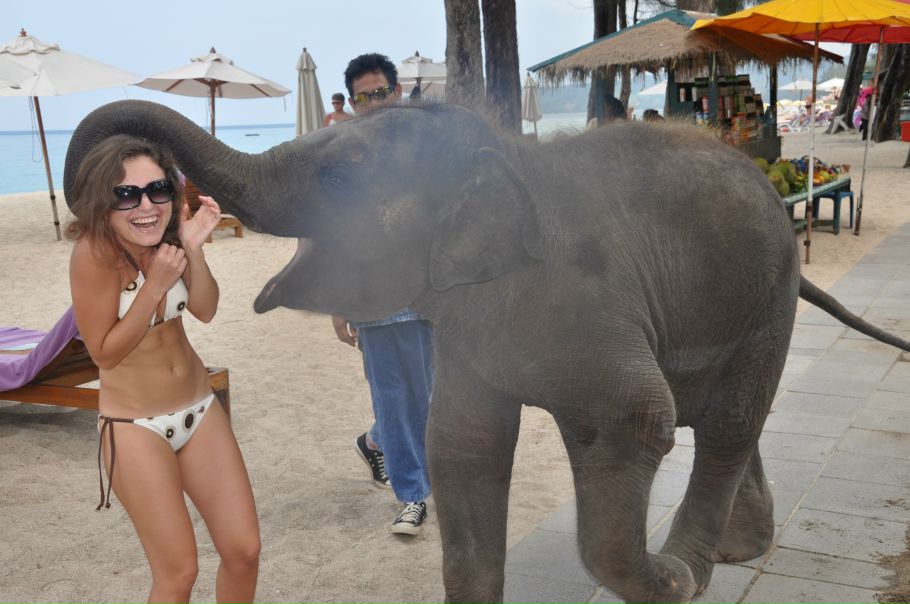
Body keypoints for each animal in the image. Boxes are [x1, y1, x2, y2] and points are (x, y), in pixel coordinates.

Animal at [64, 100, 910, 604]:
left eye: (338, 177)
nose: (135, 183)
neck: (499, 153)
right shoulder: (472, 325)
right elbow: (462, 448)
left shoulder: (579, 294)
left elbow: (639, 419)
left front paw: (666, 582)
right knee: (727, 417)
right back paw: (737, 552)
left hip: (770, 291)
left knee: (727, 419)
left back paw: (698, 566)